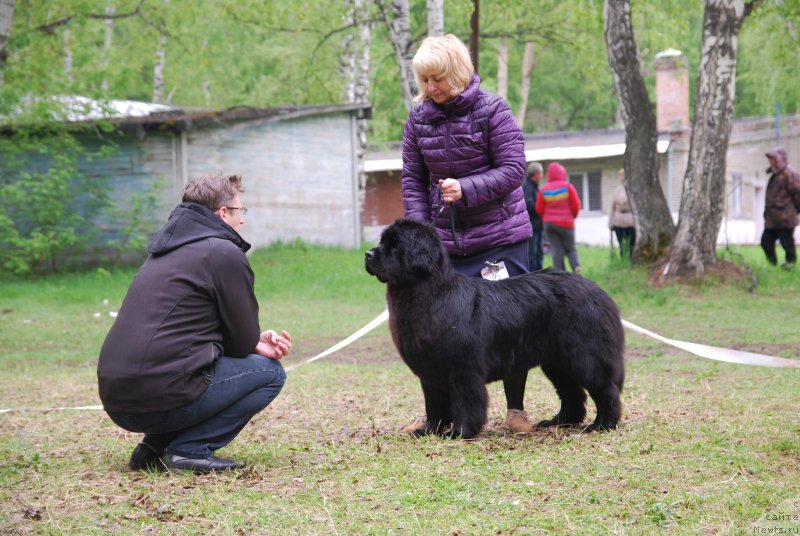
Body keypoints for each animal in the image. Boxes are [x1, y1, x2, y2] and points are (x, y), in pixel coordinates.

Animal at [368, 218, 624, 440]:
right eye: (383, 242)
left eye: (395, 246)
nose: (368, 254)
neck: (430, 295)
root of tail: (596, 290)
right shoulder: (429, 371)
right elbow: (434, 406)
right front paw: (428, 430)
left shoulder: (463, 370)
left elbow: (465, 403)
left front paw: (459, 432)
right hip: (556, 361)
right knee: (572, 392)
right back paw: (560, 422)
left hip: (583, 356)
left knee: (605, 389)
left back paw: (602, 425)